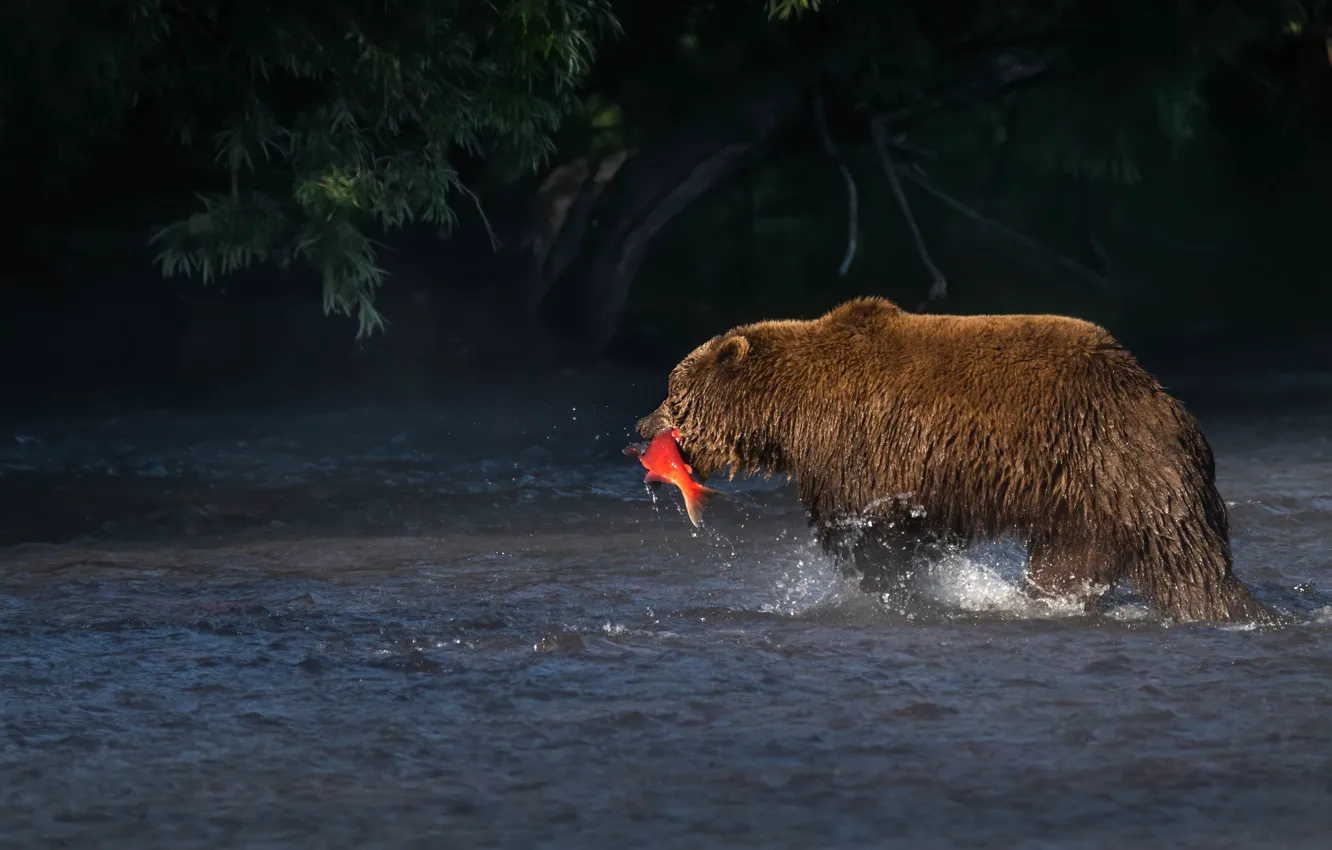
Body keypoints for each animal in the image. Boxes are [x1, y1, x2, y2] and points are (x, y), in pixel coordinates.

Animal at [633, 295, 1273, 624]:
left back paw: (1224, 607)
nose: (641, 427)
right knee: (1070, 560)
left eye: (672, 391)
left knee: (1182, 555)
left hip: (1120, 461)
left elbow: (863, 526)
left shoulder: (855, 442)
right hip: (1078, 501)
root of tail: (1165, 398)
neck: (790, 415)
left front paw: (889, 581)